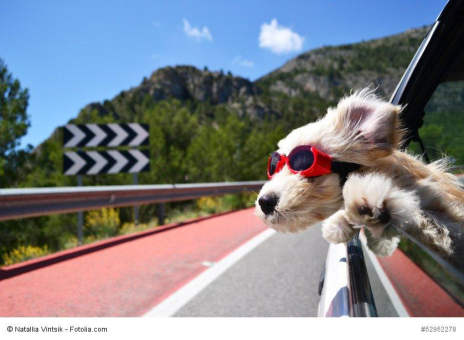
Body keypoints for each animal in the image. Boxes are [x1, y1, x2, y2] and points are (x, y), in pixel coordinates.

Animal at [256, 89, 462, 256]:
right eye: (273, 166)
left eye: (303, 161)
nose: (264, 202)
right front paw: (340, 224)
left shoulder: (447, 219)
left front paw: (367, 193)